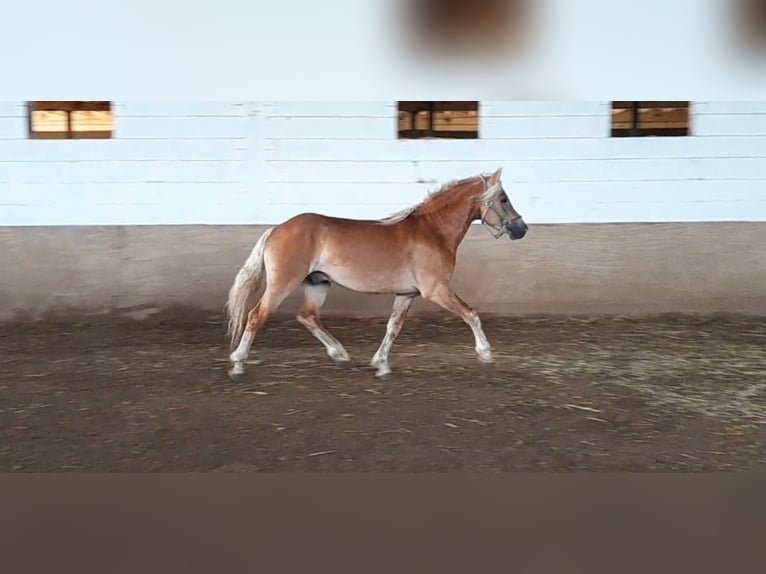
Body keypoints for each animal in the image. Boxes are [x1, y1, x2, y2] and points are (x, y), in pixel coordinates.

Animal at [225, 169, 532, 380]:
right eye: (503, 199)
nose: (522, 229)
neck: (432, 231)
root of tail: (276, 229)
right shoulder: (437, 290)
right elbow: (471, 314)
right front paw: (486, 353)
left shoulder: (407, 294)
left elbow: (393, 327)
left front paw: (381, 364)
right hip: (282, 284)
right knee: (256, 315)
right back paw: (238, 363)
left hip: (318, 283)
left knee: (307, 316)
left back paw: (340, 354)